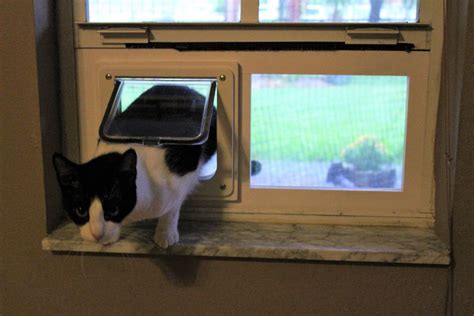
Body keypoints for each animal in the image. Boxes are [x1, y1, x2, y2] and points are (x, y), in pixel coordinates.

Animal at [52, 85, 216, 248]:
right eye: (80, 210)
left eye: (113, 208)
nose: (96, 234)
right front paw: (111, 236)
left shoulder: (181, 177)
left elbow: (173, 207)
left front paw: (166, 233)